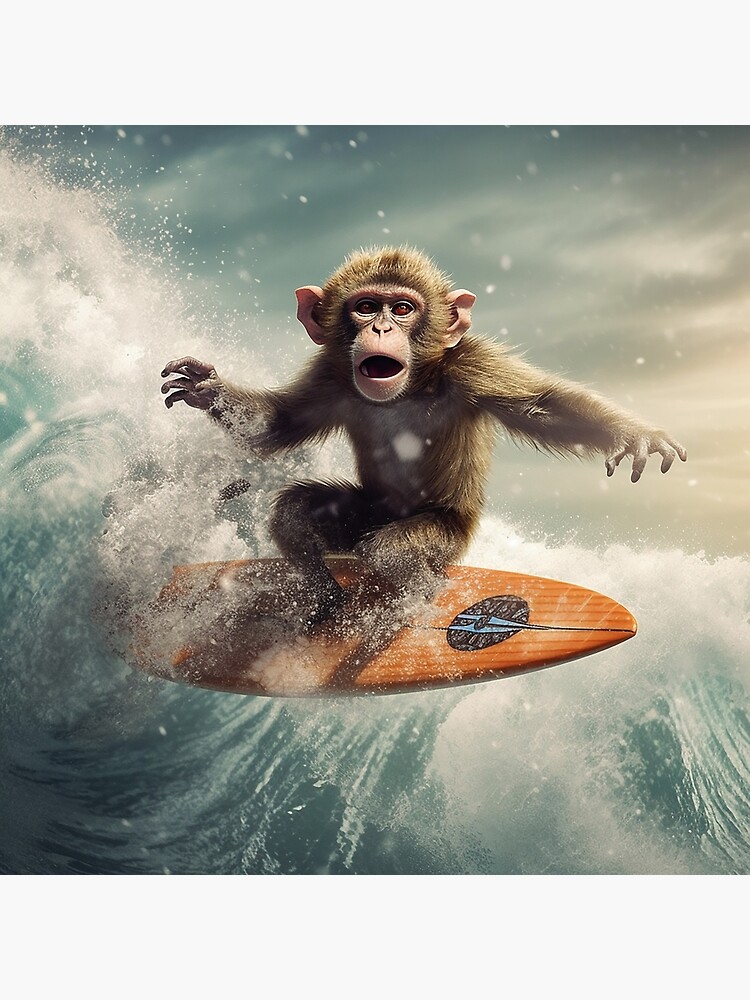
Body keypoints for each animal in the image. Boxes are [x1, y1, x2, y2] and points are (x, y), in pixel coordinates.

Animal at [161, 245, 686, 650]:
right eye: (366, 306)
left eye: (402, 309)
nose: (380, 329)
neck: (411, 386)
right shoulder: (329, 376)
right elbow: (277, 425)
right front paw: (207, 388)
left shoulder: (473, 363)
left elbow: (541, 406)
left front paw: (632, 433)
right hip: (369, 511)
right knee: (300, 512)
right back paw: (329, 597)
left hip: (451, 533)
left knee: (388, 550)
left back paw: (418, 601)